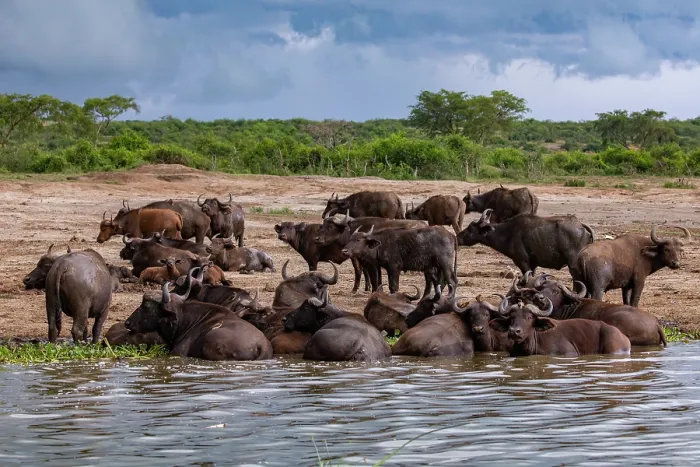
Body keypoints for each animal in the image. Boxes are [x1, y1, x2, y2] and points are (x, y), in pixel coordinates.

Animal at [124, 282, 273, 361]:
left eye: (146, 306)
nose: (127, 323)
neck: (184, 320)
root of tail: (263, 345)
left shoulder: (177, 354)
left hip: (211, 337)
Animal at [458, 209, 595, 275]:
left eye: (470, 228)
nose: (458, 236)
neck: (509, 232)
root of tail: (580, 225)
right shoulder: (533, 265)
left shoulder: (524, 264)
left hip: (573, 265)